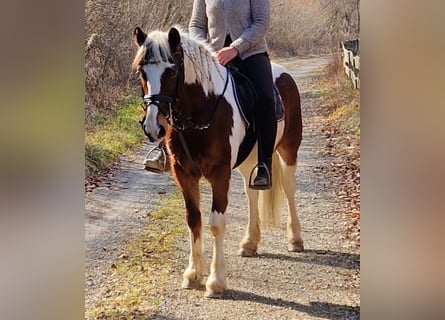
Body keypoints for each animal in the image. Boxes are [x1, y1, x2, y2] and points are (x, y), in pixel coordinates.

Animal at [132, 26, 304, 298]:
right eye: (142, 72)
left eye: (171, 71)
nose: (153, 127)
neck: (203, 108)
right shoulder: (184, 174)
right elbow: (194, 220)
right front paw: (192, 274)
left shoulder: (220, 173)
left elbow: (216, 224)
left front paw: (215, 281)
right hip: (248, 161)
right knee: (251, 193)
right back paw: (249, 243)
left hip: (289, 151)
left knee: (289, 190)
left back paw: (295, 239)